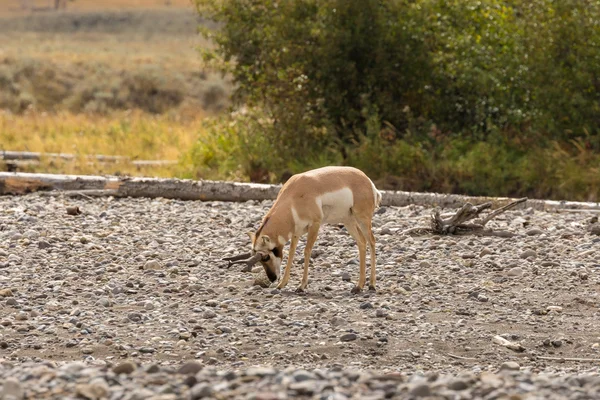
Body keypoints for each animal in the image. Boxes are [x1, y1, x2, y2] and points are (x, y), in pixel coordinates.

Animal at [223, 166, 382, 294]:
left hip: (362, 219)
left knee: (372, 241)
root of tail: (367, 180)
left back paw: (371, 285)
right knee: (362, 242)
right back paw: (359, 286)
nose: (272, 278)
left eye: (266, 257)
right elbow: (291, 254)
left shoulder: (315, 225)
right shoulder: (296, 232)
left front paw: (301, 286)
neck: (294, 195)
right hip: (348, 221)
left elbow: (306, 251)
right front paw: (282, 284)